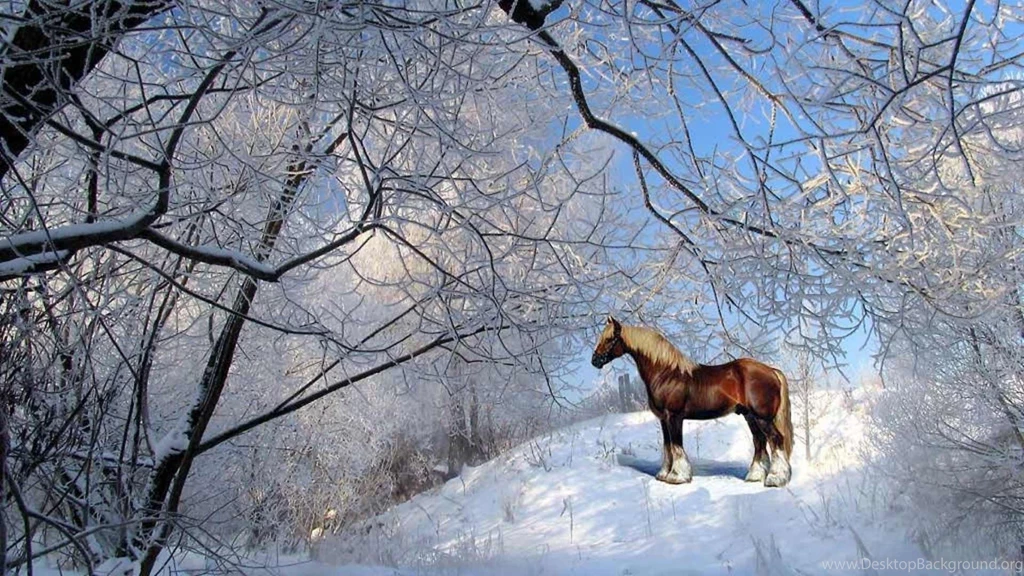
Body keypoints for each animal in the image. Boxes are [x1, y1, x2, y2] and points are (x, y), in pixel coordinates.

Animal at [591, 316, 793, 487]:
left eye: (610, 339)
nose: (595, 361)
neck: (666, 373)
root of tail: (771, 371)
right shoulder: (663, 419)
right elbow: (667, 446)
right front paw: (663, 474)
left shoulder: (674, 417)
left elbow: (676, 445)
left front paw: (677, 476)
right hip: (750, 417)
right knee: (759, 441)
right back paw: (755, 476)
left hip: (762, 418)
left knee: (776, 440)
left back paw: (775, 478)